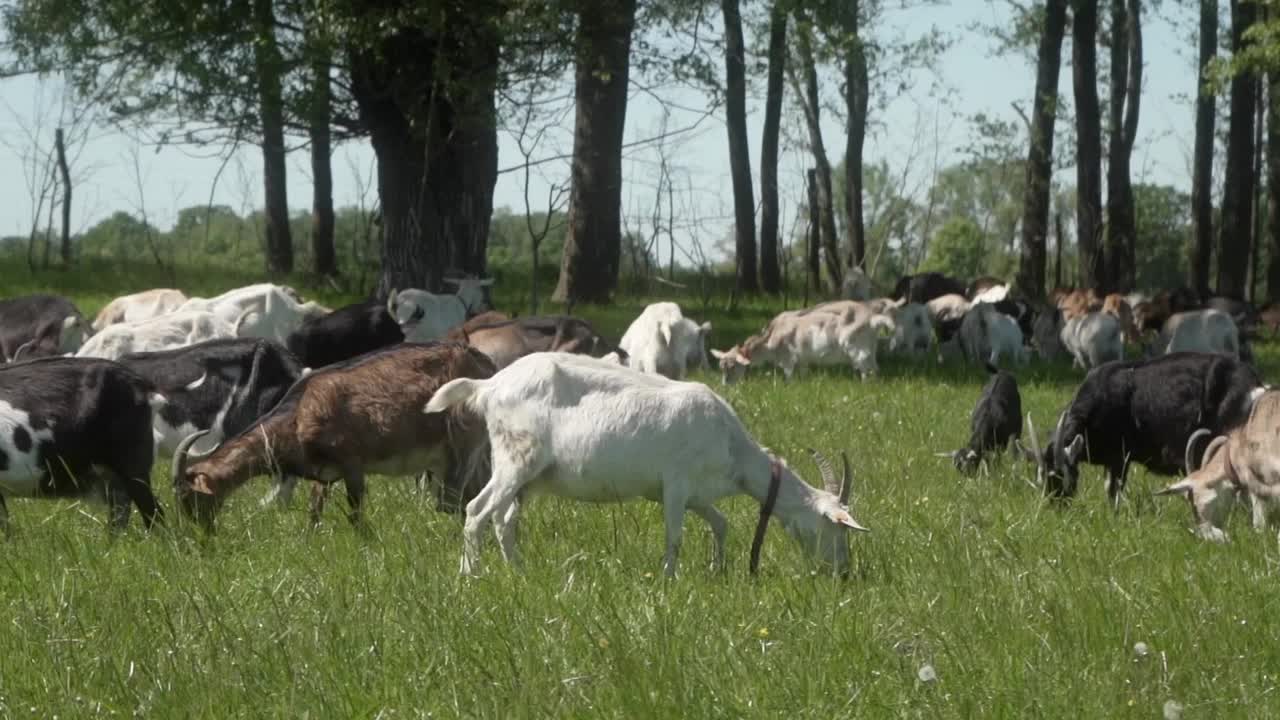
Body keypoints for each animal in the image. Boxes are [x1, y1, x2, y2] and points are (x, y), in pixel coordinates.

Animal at [166, 338, 494, 525]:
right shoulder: (323, 474)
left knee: (455, 501)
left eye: (190, 499)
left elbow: (355, 512)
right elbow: (314, 511)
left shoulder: (352, 463)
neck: (299, 414)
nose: (201, 537)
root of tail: (484, 363)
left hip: (462, 445)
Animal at [1024, 351, 1264, 502]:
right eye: (1041, 478)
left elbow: (1114, 489)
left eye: (1060, 475)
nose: (1056, 506)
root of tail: (1253, 384)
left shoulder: (1121, 456)